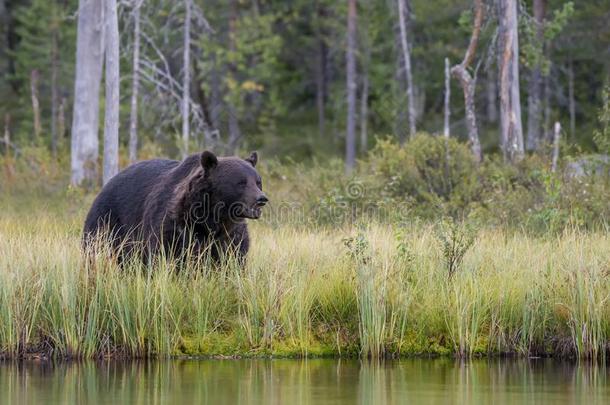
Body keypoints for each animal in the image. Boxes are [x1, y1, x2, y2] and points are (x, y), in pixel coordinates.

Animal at [83, 151, 266, 262]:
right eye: (241, 182)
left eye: (258, 181)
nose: (261, 199)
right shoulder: (175, 228)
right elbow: (166, 255)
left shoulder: (230, 237)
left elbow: (233, 258)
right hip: (107, 222)